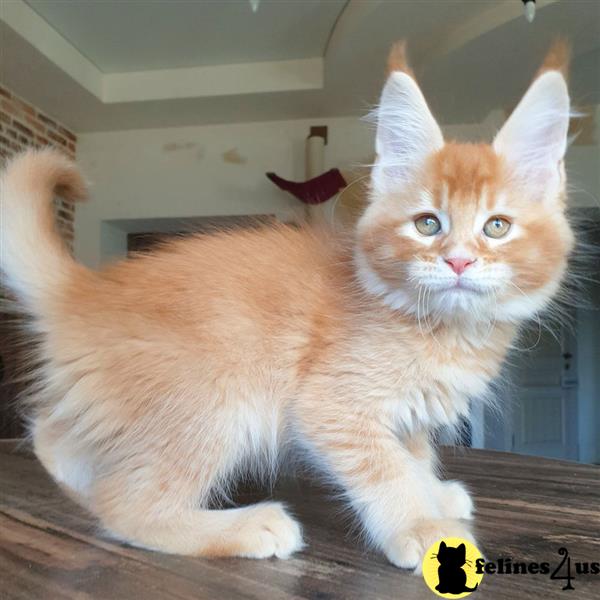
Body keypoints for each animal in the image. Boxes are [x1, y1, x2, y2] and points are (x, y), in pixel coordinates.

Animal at [0, 39, 572, 568]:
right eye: (427, 223)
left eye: (496, 227)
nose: (457, 262)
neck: (443, 326)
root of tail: (85, 290)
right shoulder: (330, 406)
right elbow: (386, 468)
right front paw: (421, 526)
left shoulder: (409, 413)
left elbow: (413, 457)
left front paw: (432, 494)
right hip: (216, 398)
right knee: (125, 506)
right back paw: (251, 526)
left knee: (55, 437)